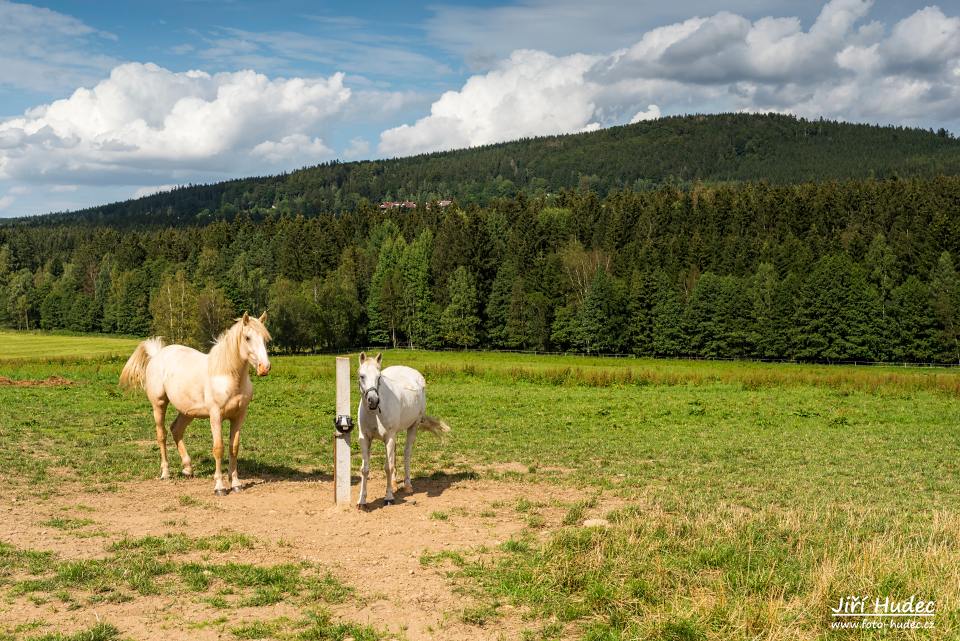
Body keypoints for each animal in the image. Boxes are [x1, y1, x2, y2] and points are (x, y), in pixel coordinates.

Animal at [120, 312, 272, 496]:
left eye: (265, 339)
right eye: (247, 337)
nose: (264, 368)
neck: (226, 375)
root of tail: (157, 355)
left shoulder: (239, 416)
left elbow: (233, 447)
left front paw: (236, 483)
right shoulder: (215, 416)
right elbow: (218, 448)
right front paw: (220, 487)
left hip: (187, 411)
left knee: (176, 430)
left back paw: (187, 469)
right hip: (159, 405)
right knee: (162, 435)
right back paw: (165, 473)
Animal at [358, 352, 452, 508]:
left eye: (379, 377)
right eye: (361, 376)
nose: (373, 400)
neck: (375, 413)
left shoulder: (389, 437)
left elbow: (388, 467)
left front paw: (389, 497)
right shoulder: (365, 438)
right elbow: (365, 469)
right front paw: (362, 501)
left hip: (413, 426)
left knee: (407, 453)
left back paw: (407, 486)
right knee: (395, 455)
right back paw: (395, 484)